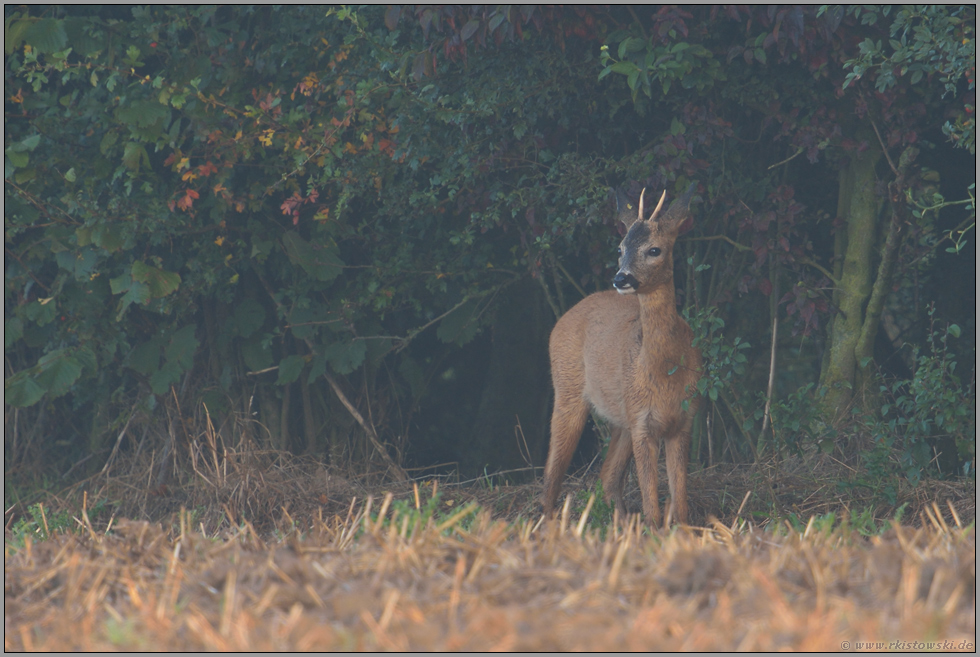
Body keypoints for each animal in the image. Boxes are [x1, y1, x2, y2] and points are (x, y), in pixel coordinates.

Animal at [540, 187, 700, 524]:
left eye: (654, 250)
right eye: (620, 247)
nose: (621, 278)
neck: (665, 372)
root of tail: (564, 318)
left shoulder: (683, 420)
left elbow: (680, 502)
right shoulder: (642, 423)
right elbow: (652, 505)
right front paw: (653, 529)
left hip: (621, 417)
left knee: (607, 476)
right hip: (568, 390)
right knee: (551, 475)